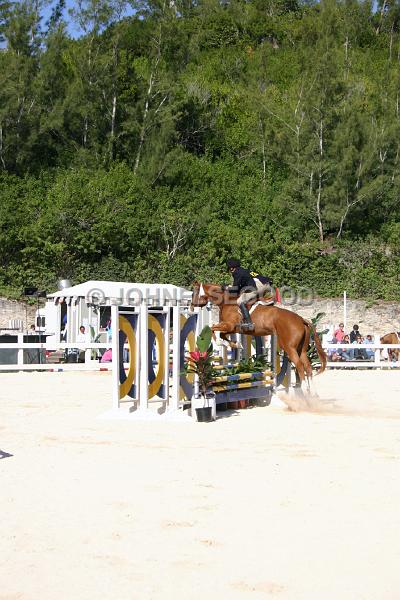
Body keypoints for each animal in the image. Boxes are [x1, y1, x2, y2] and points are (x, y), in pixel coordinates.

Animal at [190, 282, 324, 390]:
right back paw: (312, 394)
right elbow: (221, 335)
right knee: (308, 367)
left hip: (289, 347)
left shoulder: (229, 325)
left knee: (300, 367)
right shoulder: (230, 328)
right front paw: (237, 345)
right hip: (301, 349)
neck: (226, 302)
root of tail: (301, 319)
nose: (191, 308)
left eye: (194, 293)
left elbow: (212, 330)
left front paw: (226, 343)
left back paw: (304, 394)